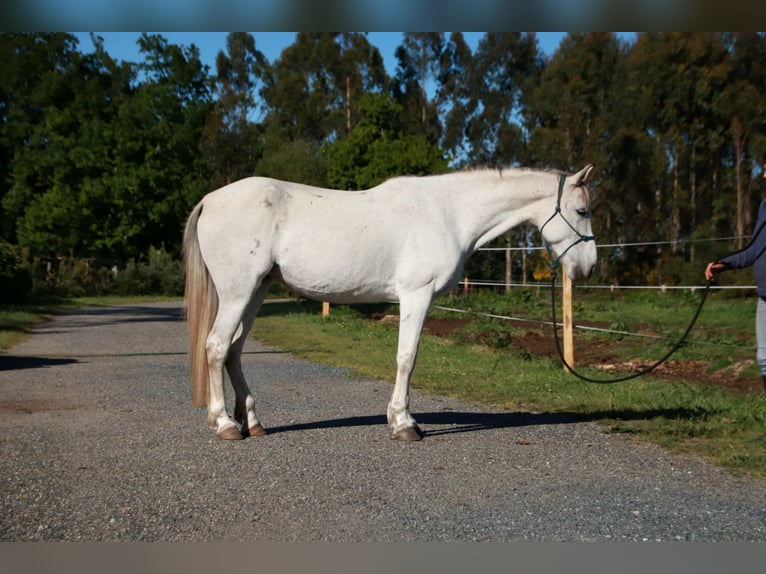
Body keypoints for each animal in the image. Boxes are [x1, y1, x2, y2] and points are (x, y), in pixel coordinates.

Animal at [183, 165, 597, 441]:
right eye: (582, 211)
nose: (589, 267)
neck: (447, 214)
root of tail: (209, 200)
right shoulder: (416, 295)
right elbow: (407, 358)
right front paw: (404, 423)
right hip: (238, 292)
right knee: (217, 347)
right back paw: (225, 425)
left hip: (256, 291)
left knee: (234, 351)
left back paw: (252, 422)